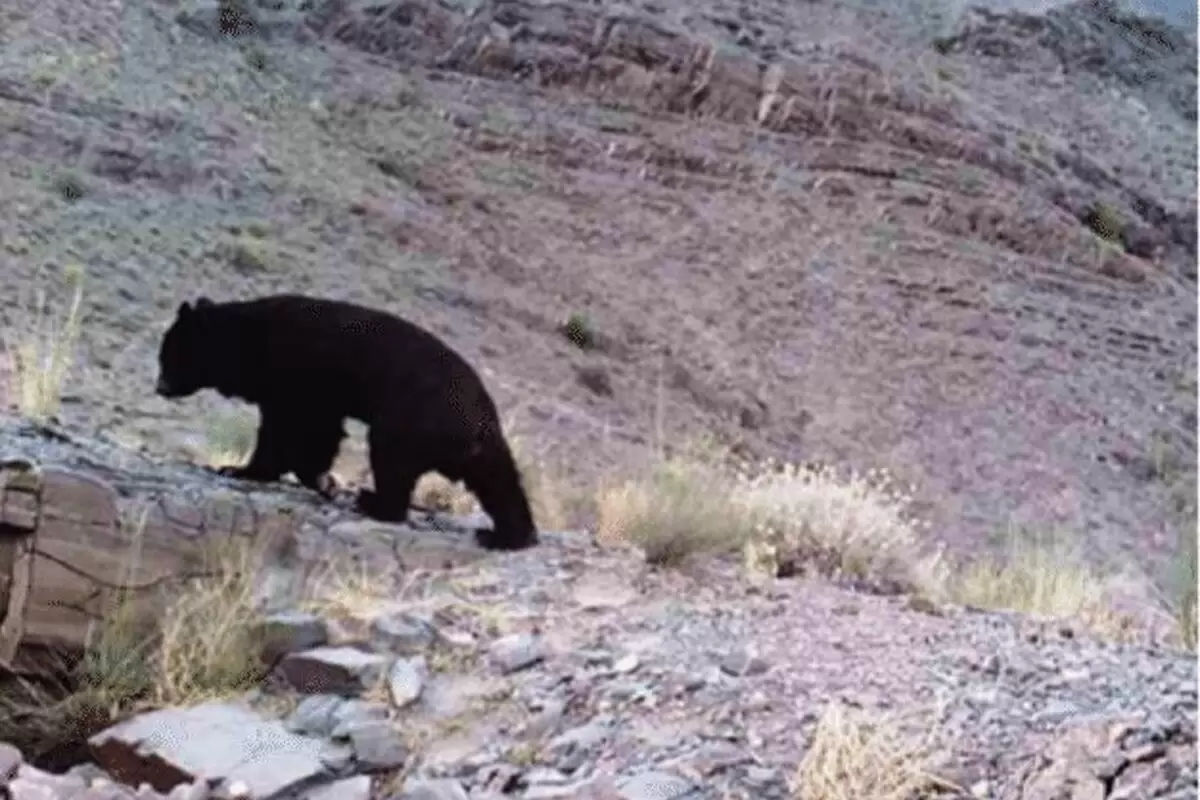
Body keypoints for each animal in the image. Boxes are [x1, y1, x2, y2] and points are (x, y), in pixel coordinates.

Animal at [154, 292, 540, 551]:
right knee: (499, 482)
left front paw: (240, 469)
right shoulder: (318, 393)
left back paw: (373, 502)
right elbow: (319, 431)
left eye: (170, 355)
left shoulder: (295, 373)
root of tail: (479, 421)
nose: (160, 387)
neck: (249, 342)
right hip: (478, 447)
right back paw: (508, 535)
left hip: (408, 418)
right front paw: (321, 479)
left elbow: (290, 427)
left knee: (391, 461)